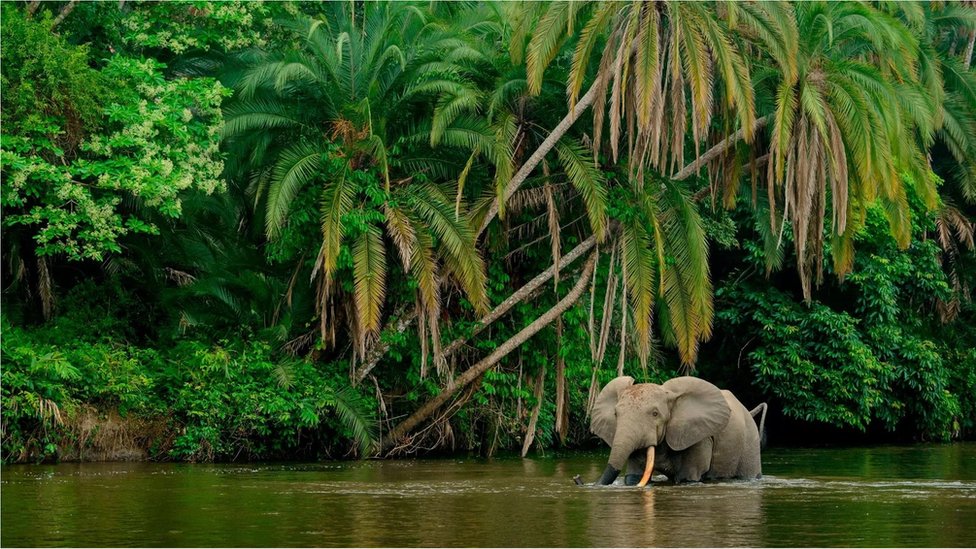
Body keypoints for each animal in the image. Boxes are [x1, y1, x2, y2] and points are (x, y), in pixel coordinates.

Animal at [588, 374, 772, 486]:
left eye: (655, 414)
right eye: (616, 414)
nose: (581, 480)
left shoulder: (699, 436)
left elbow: (687, 478)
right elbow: (633, 477)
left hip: (750, 442)